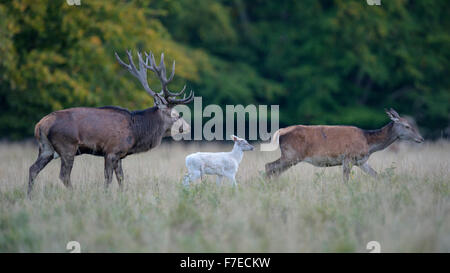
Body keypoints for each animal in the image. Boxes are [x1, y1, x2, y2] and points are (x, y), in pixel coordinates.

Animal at [28, 49, 193, 193]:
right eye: (176, 114)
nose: (188, 127)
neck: (136, 132)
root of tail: (40, 125)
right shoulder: (111, 151)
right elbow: (108, 179)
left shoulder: (119, 155)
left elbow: (121, 179)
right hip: (67, 146)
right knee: (64, 176)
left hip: (46, 148)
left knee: (33, 169)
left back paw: (29, 197)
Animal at [266, 108, 424, 181]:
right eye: (407, 126)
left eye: (411, 125)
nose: (421, 139)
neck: (369, 143)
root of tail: (280, 131)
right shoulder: (348, 157)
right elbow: (345, 179)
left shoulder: (361, 161)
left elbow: (377, 175)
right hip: (291, 155)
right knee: (269, 166)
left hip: (291, 157)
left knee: (274, 170)